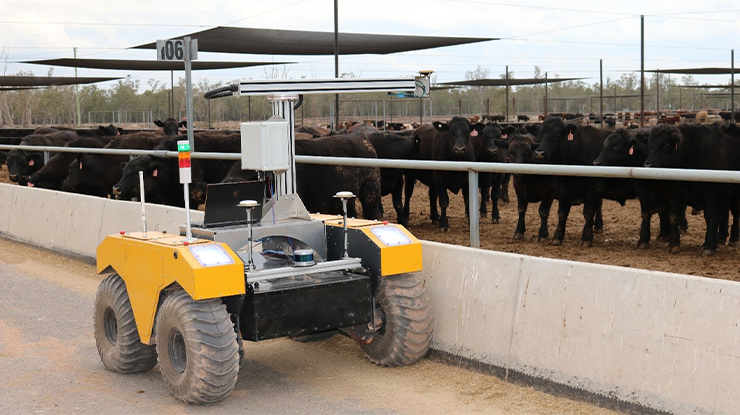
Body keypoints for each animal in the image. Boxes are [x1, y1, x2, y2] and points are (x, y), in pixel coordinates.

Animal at [536, 115, 608, 245]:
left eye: (557, 135)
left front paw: (586, 238)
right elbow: (562, 213)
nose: (539, 153)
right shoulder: (562, 190)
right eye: (540, 134)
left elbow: (588, 213)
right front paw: (557, 236)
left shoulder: (593, 189)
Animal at [640, 122, 740, 255]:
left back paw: (733, 239)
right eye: (650, 144)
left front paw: (708, 246)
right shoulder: (677, 194)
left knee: (736, 214)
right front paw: (674, 244)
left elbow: (711, 218)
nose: (648, 165)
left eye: (666, 144)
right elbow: (673, 216)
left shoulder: (714, 196)